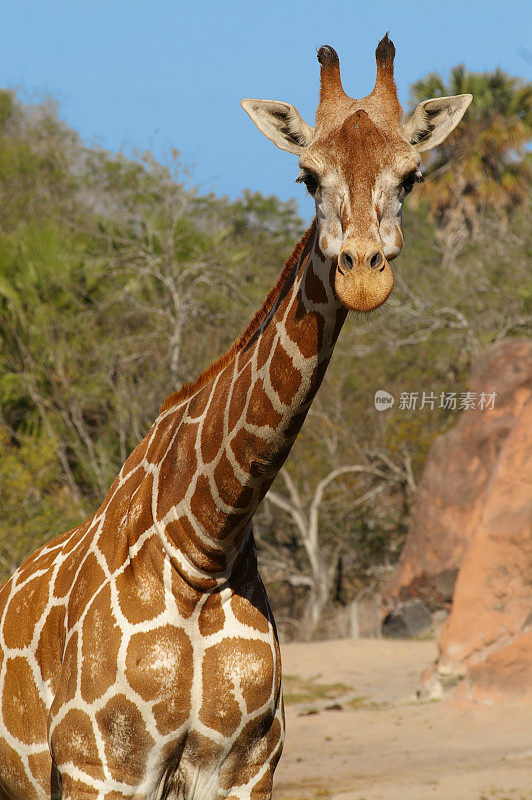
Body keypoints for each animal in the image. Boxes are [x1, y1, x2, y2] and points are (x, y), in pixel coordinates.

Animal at [0, 36, 470, 800]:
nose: (362, 273)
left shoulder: (246, 767)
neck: (203, 547)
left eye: (411, 176)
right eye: (307, 177)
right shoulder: (100, 768)